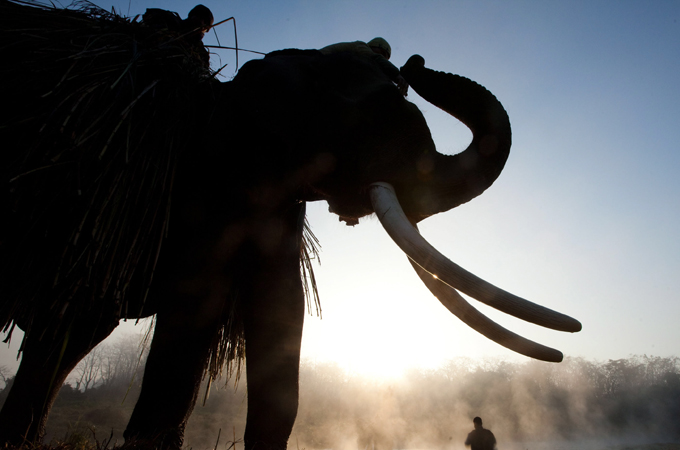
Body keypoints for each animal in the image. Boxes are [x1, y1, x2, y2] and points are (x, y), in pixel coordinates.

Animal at [0, 2, 581, 449]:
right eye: (382, 107)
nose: (415, 62)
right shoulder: (210, 178)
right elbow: (197, 303)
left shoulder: (276, 204)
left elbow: (282, 311)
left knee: (69, 333)